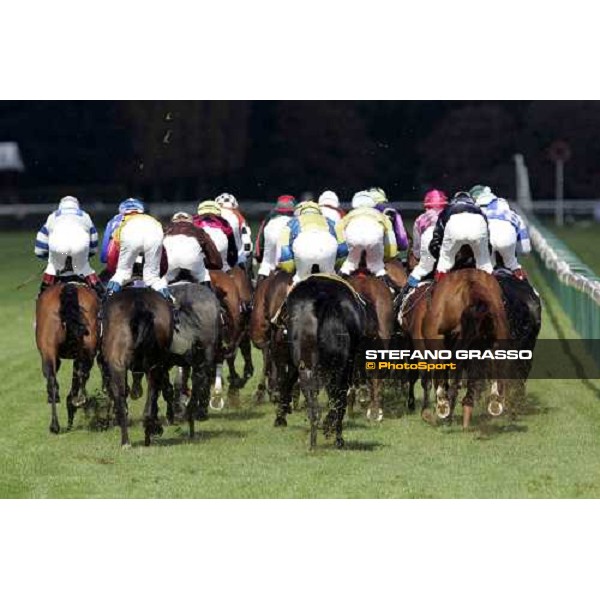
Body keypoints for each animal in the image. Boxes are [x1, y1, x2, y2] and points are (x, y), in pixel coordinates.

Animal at [35, 284, 99, 434]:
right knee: (81, 374)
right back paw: (78, 401)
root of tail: (68, 286)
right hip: (87, 349)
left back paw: (55, 425)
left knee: (52, 382)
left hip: (48, 349)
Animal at [286, 274, 366, 448]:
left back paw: (314, 443)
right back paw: (335, 437)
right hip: (340, 368)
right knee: (338, 400)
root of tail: (322, 299)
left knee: (315, 407)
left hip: (307, 368)